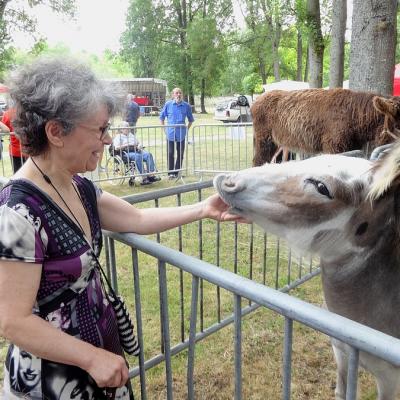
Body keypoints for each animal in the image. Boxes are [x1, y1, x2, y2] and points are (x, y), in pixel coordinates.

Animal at [252, 88, 400, 166]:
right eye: (398, 127)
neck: (352, 116)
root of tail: (258, 99)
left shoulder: (352, 147)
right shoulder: (334, 146)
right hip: (264, 141)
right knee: (258, 161)